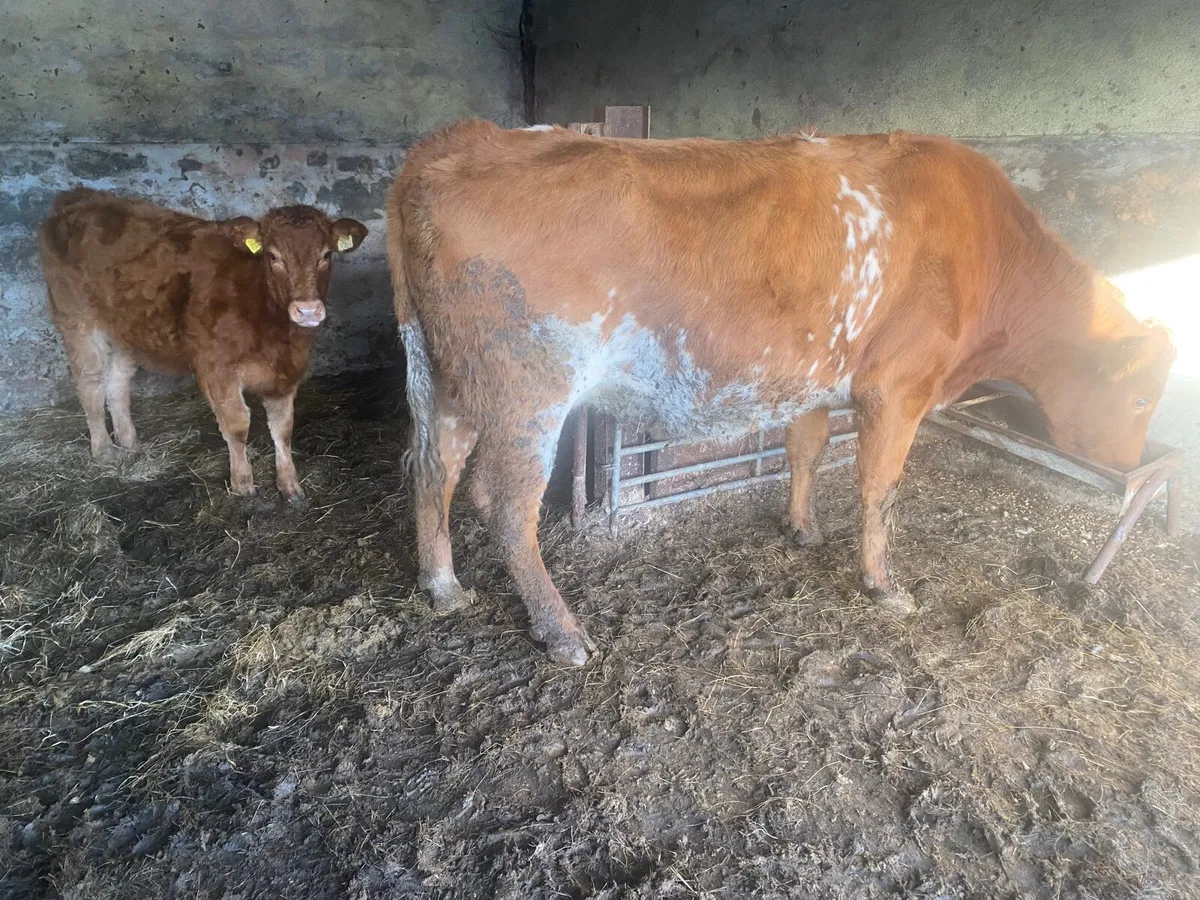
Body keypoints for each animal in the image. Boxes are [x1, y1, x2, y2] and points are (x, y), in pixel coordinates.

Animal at [39, 187, 368, 500]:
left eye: (326, 255)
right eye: (273, 256)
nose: (308, 310)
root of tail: (79, 196)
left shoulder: (286, 374)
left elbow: (283, 430)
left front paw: (289, 486)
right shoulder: (216, 368)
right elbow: (237, 426)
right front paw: (242, 485)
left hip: (126, 331)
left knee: (117, 384)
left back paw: (130, 444)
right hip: (77, 320)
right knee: (90, 384)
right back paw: (105, 451)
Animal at [386, 121, 1174, 666]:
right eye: (1142, 401)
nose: (1125, 461)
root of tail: (461, 138)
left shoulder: (818, 379)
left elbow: (806, 447)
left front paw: (802, 527)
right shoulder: (899, 386)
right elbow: (879, 486)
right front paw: (883, 584)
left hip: (446, 376)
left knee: (435, 471)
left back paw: (444, 585)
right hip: (530, 391)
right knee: (506, 506)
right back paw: (562, 631)